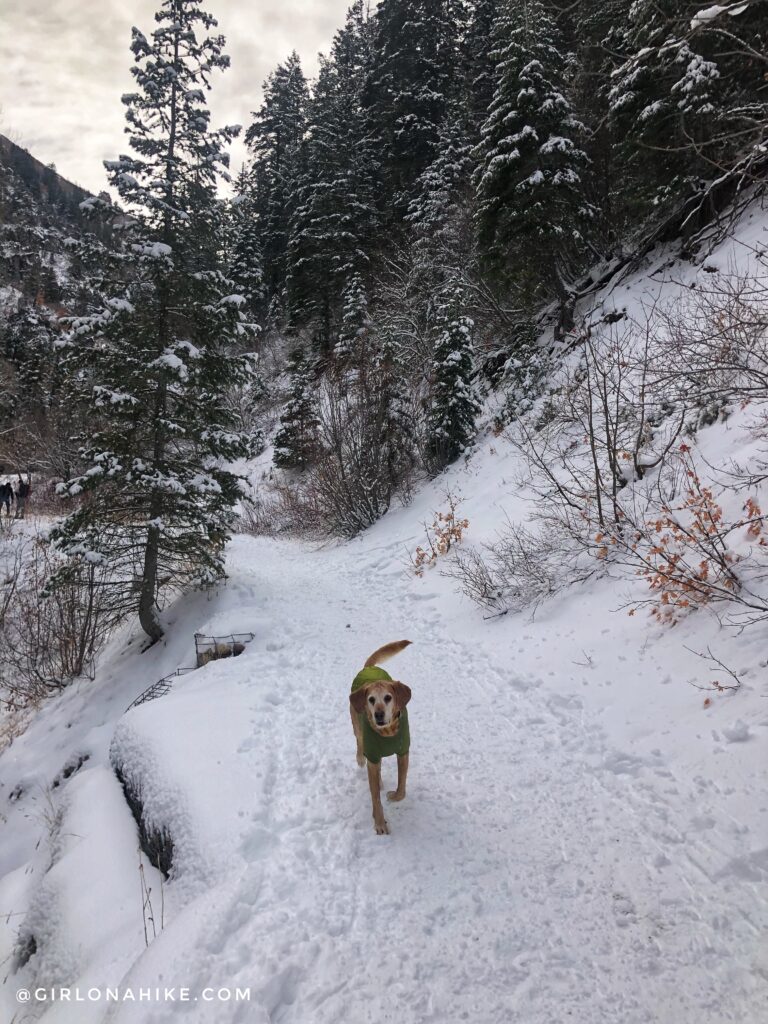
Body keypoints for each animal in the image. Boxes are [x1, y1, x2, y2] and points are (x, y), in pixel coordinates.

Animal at [350, 638, 415, 831]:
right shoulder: (372, 757)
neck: (387, 732)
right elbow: (375, 798)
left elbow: (402, 789)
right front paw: (379, 822)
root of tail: (369, 668)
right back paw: (360, 758)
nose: (378, 714)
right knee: (359, 741)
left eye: (388, 697)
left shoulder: (403, 752)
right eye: (371, 699)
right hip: (357, 725)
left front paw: (393, 796)